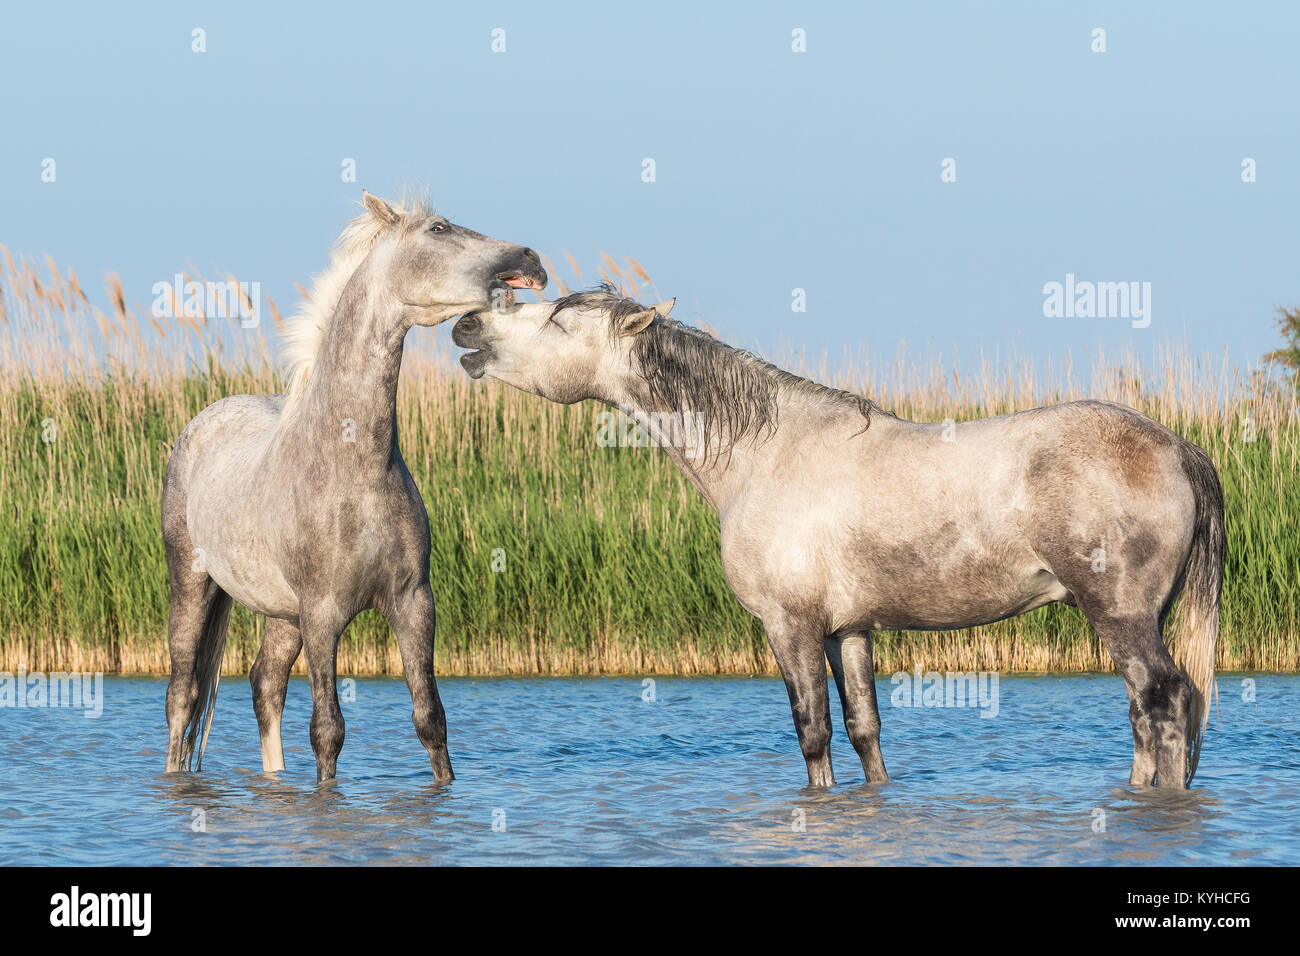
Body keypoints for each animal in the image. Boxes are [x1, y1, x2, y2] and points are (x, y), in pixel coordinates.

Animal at [163, 191, 548, 780]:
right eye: (439, 228)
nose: (529, 257)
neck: (355, 467)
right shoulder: (324, 615)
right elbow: (328, 731)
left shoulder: (413, 604)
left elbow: (430, 718)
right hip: (193, 585)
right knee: (182, 696)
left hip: (284, 615)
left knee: (265, 685)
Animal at [452, 290, 1222, 790]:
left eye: (557, 317)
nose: (466, 325)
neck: (763, 453)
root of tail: (1177, 448)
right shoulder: (846, 630)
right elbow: (864, 731)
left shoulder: (788, 625)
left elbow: (813, 733)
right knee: (1145, 711)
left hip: (1120, 615)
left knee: (1166, 701)